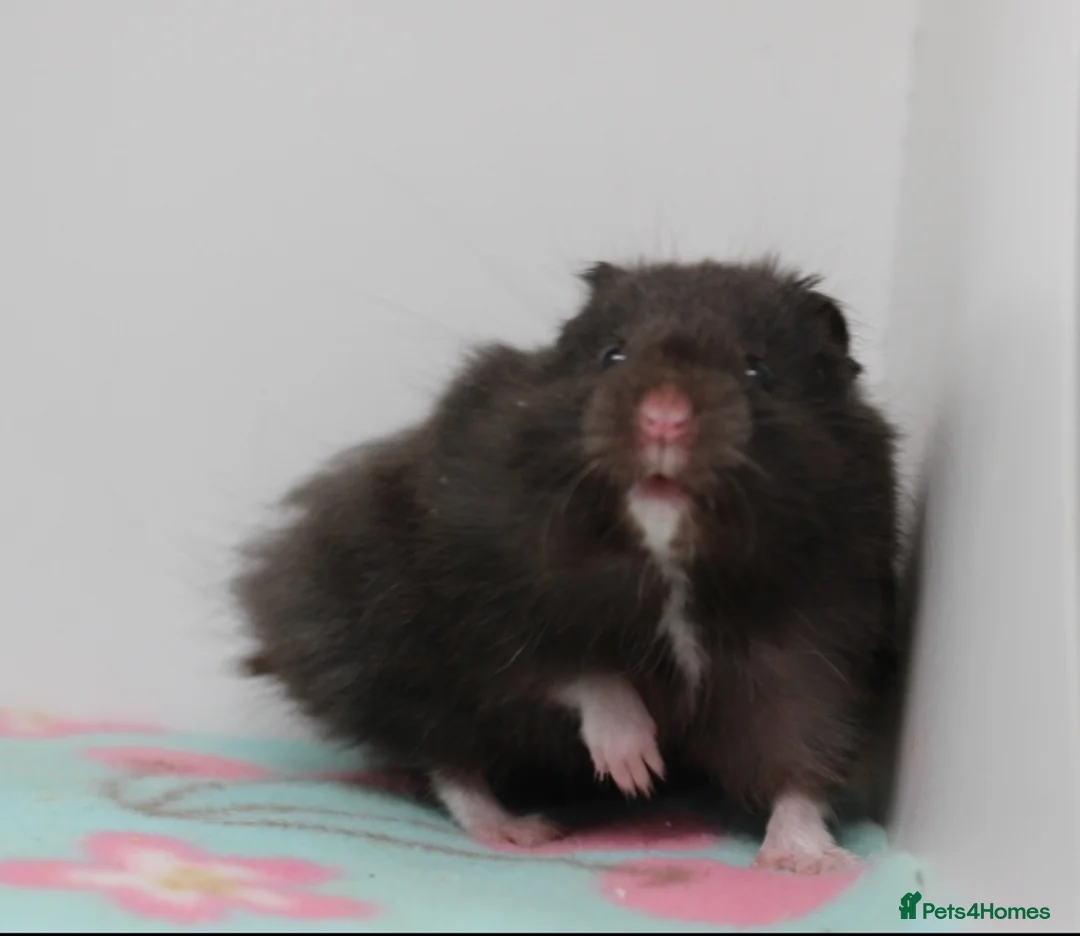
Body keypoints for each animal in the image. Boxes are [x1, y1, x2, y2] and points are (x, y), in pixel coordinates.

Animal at [232, 258, 900, 872]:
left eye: (757, 371)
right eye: (613, 355)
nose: (663, 419)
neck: (669, 560)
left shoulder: (813, 646)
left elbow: (801, 757)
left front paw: (812, 860)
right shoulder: (486, 603)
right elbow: (579, 671)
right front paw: (635, 767)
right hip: (402, 654)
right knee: (447, 757)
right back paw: (522, 829)